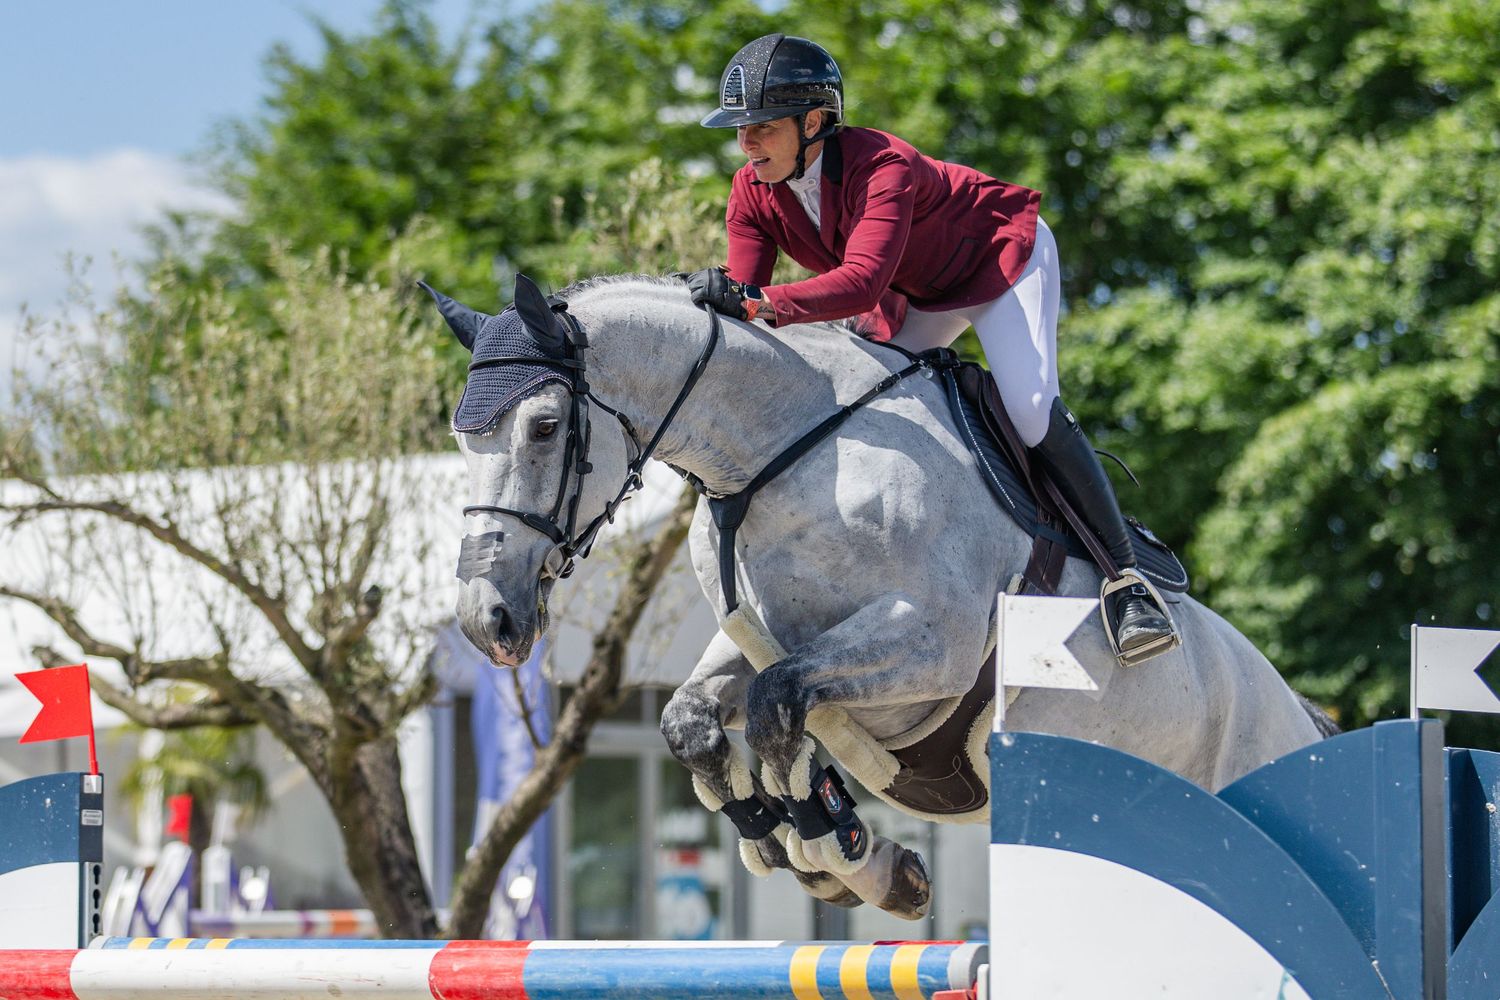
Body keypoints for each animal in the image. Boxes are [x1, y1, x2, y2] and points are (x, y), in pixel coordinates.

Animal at [428, 273, 1331, 921]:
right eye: (460, 441)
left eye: (544, 427)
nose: (488, 619)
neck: (782, 452)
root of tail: (1303, 715)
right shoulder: (754, 637)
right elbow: (697, 721)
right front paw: (799, 845)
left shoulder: (932, 644)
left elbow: (778, 705)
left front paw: (846, 848)